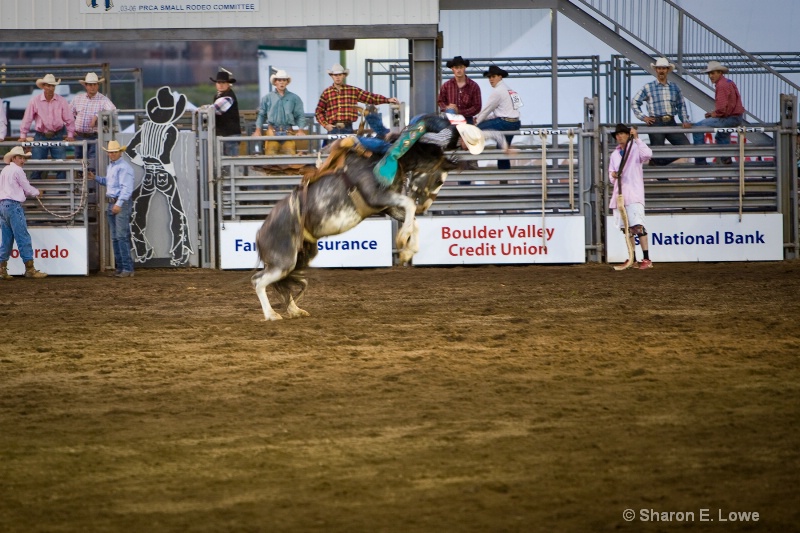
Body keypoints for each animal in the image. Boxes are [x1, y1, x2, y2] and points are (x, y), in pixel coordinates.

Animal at [247, 113, 466, 320]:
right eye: (439, 180)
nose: (425, 206)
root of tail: (259, 233)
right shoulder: (378, 196)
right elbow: (409, 205)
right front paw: (403, 240)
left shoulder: (387, 206)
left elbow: (413, 219)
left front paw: (407, 250)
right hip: (282, 262)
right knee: (258, 281)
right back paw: (271, 315)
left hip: (296, 259)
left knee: (284, 284)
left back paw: (295, 310)